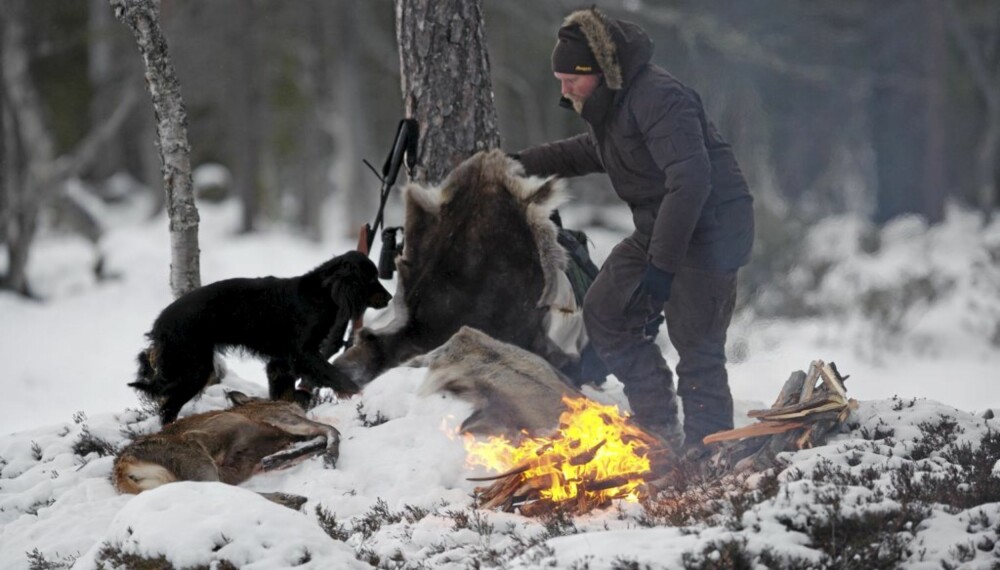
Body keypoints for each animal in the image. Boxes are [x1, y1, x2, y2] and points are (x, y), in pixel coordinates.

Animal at [135, 250, 392, 422]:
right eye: (370, 278)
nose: (389, 297)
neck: (319, 294)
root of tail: (161, 323)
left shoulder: (281, 362)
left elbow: (285, 392)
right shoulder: (304, 354)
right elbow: (338, 377)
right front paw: (361, 395)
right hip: (194, 369)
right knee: (168, 408)